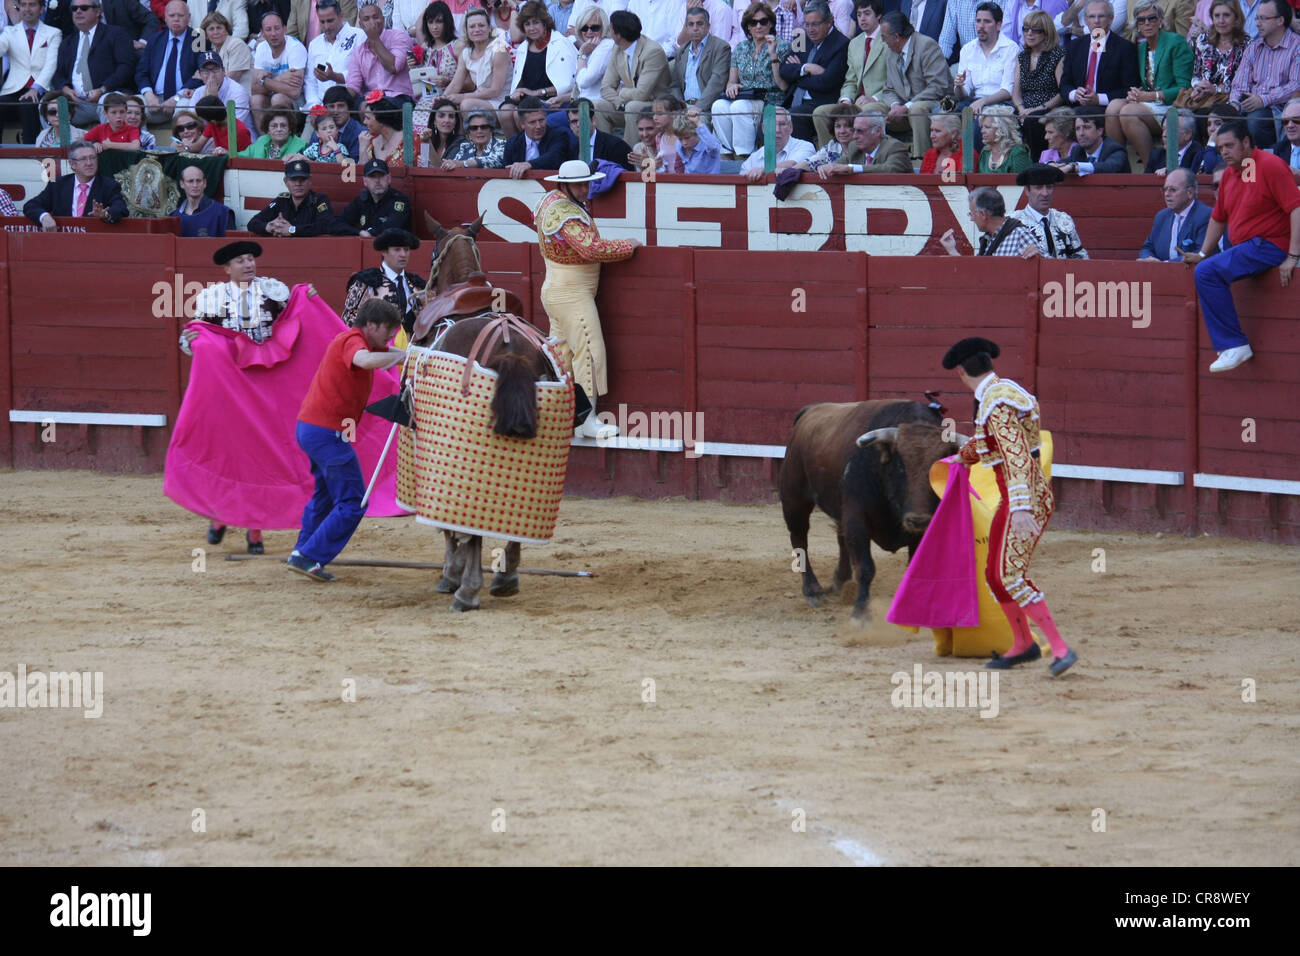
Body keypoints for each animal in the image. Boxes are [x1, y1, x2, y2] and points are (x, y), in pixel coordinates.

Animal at [780, 400, 956, 624]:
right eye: (900, 467)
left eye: (938, 470)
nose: (917, 520)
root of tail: (809, 410)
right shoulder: (857, 519)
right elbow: (865, 567)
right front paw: (860, 614)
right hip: (794, 499)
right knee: (800, 539)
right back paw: (813, 591)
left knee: (840, 538)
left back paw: (841, 582)